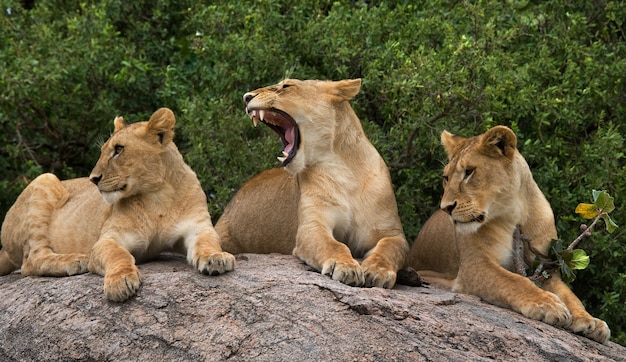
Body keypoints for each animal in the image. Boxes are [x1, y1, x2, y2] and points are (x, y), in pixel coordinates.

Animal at [0, 108, 234, 302]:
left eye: (118, 149)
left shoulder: (198, 227)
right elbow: (118, 255)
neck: (157, 196)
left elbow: (207, 242)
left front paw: (216, 259)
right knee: (31, 260)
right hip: (44, 179)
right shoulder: (108, 239)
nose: (93, 179)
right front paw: (120, 283)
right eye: (104, 150)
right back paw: (75, 260)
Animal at [216, 79, 410, 288]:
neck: (343, 168)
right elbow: (333, 245)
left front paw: (377, 271)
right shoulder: (311, 227)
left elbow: (389, 248)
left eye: (286, 86)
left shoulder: (391, 232)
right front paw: (345, 266)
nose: (246, 97)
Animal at [404, 126, 608, 344]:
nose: (446, 208)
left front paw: (590, 320)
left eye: (469, 171)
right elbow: (514, 280)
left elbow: (570, 295)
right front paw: (546, 303)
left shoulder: (548, 267)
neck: (514, 213)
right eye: (446, 178)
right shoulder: (474, 266)